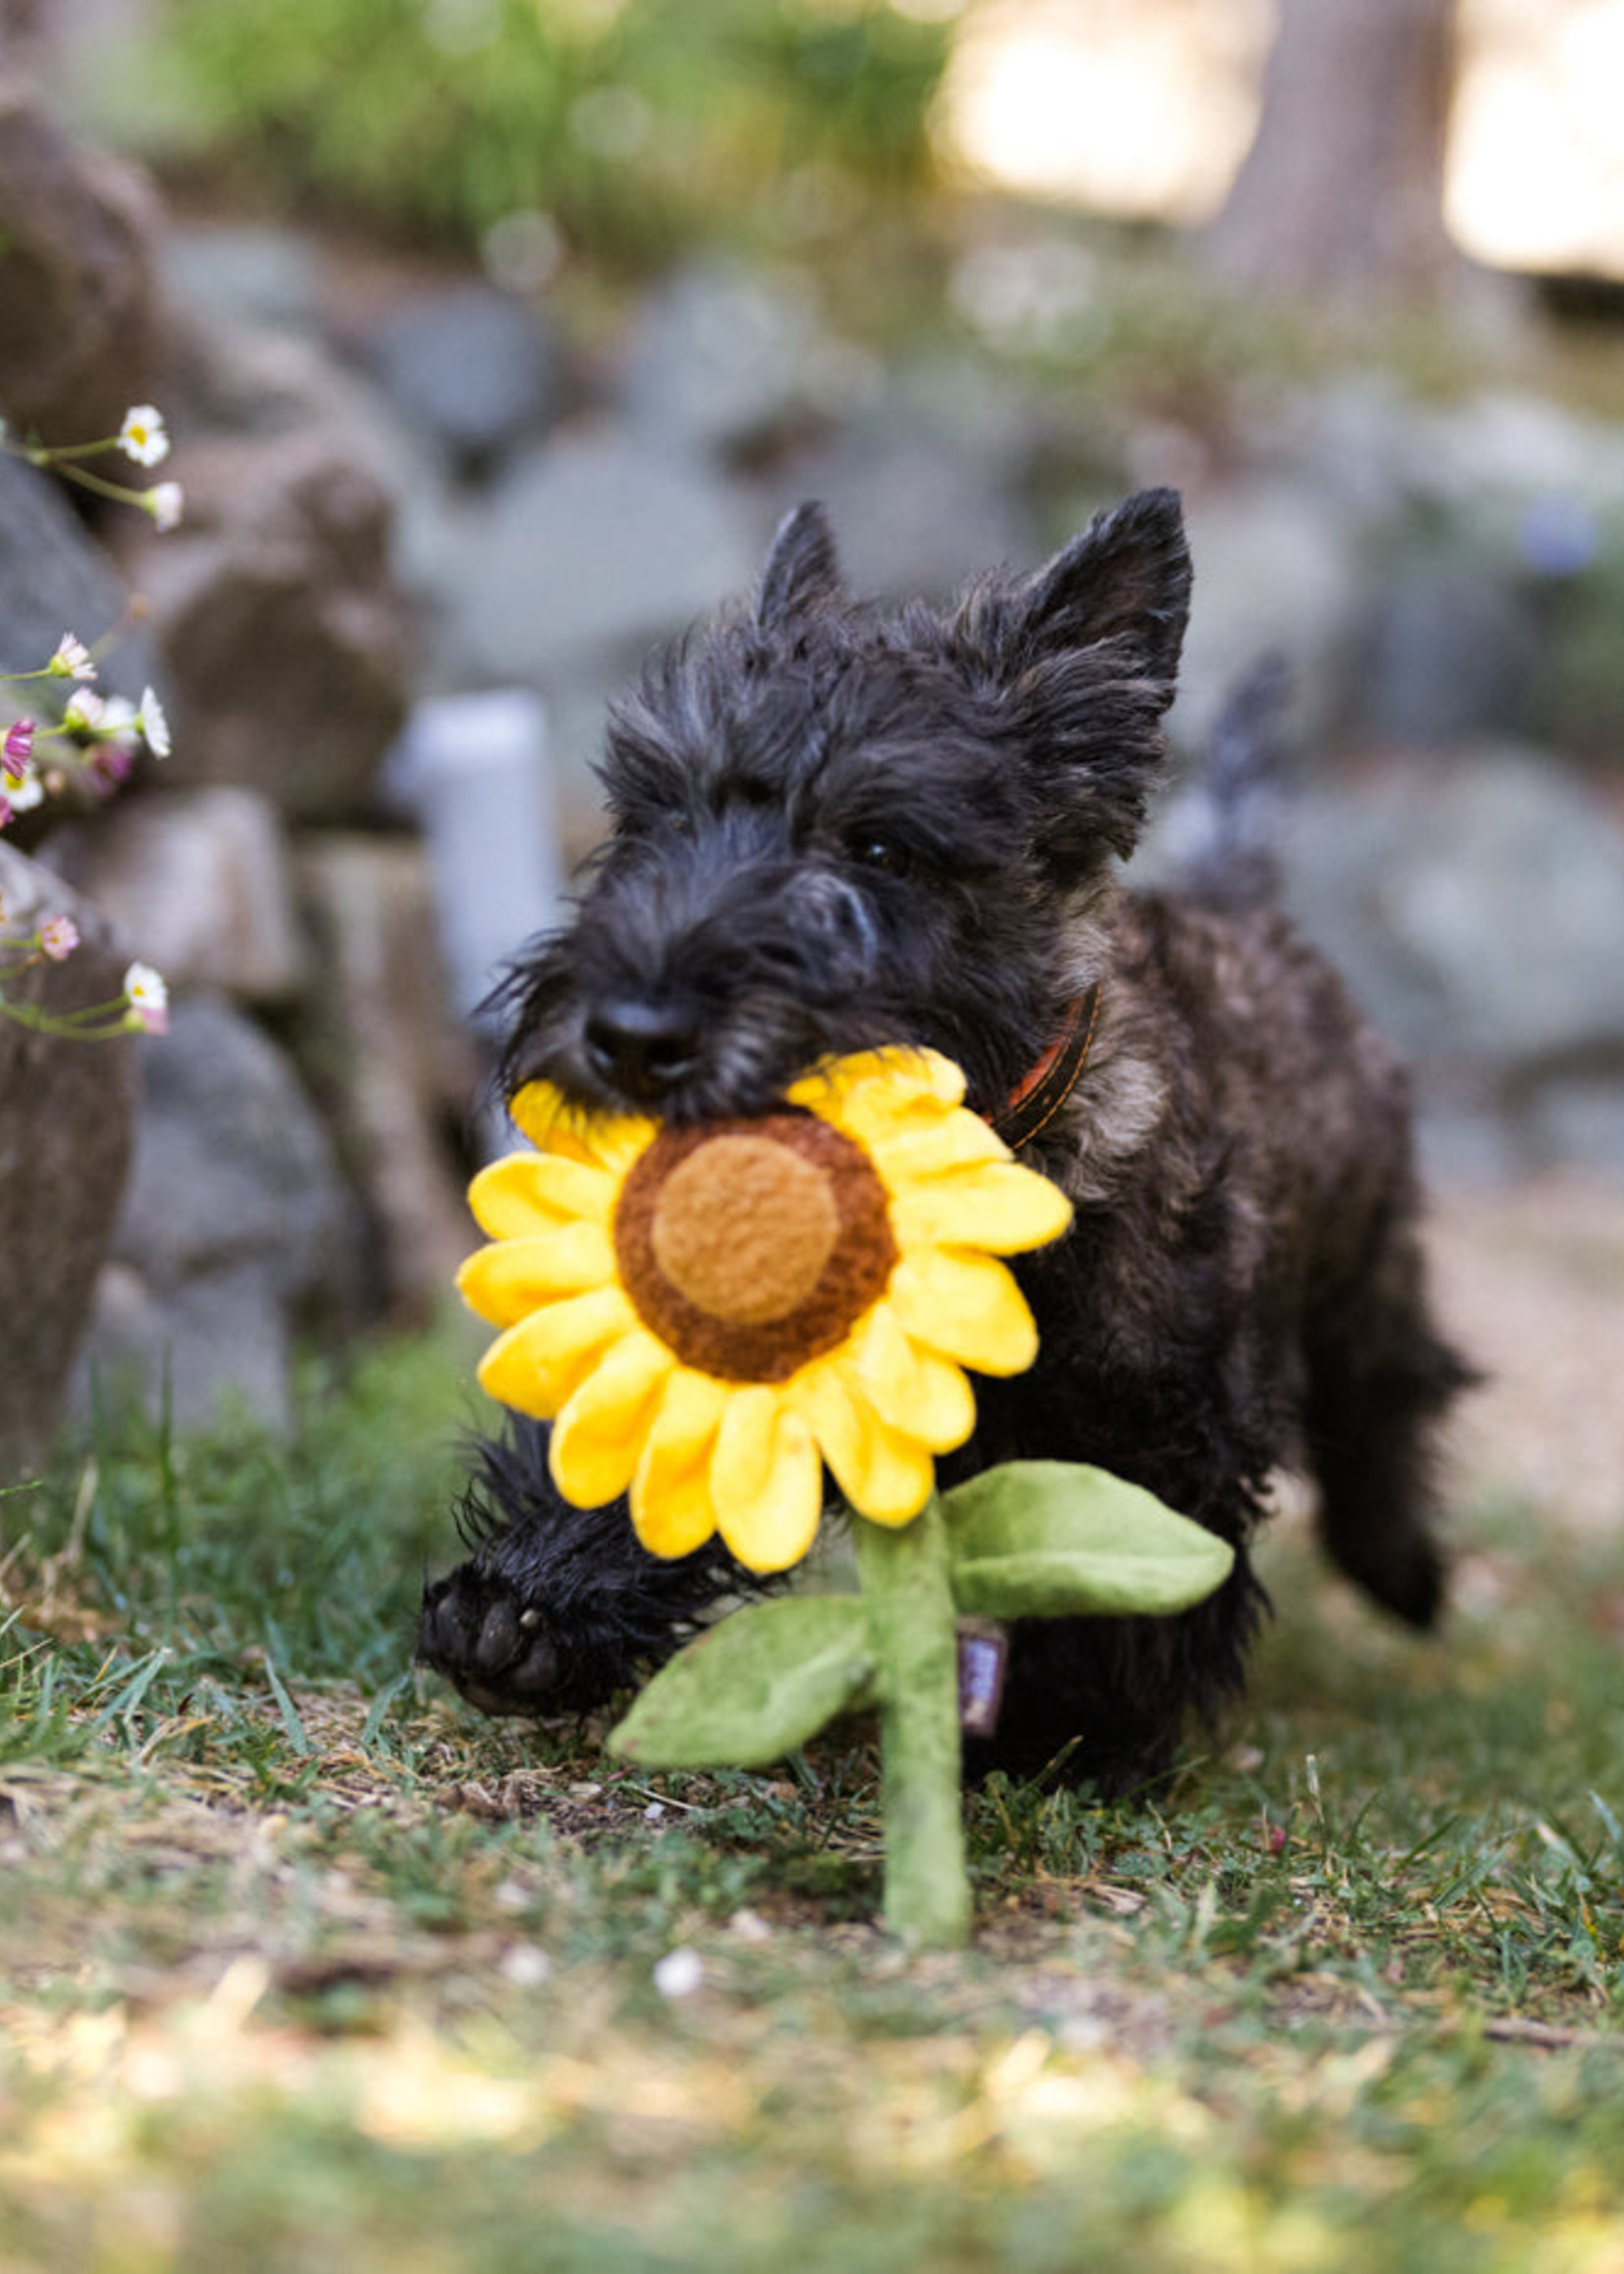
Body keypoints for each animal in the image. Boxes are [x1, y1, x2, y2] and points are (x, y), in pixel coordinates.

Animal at [421, 497, 1465, 1791]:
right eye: (659, 814)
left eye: (879, 851)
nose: (629, 1035)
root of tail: (1246, 902)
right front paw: (524, 1612)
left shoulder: (1156, 1422)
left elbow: (1117, 1569)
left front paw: (1064, 1734)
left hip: (1363, 1258)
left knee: (1393, 1386)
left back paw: (1402, 1570)